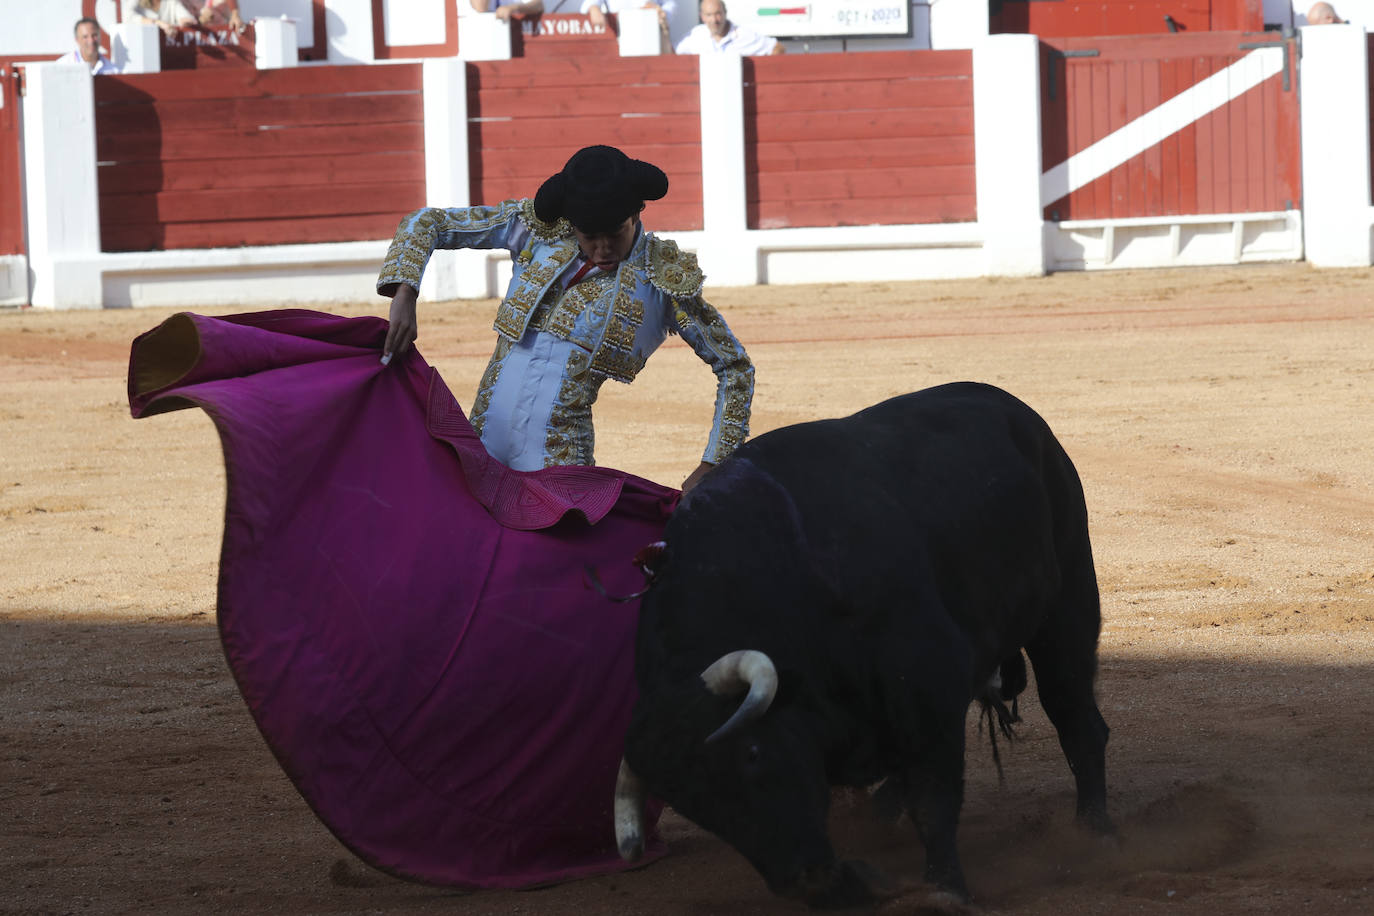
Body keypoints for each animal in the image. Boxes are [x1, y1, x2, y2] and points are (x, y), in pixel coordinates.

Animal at [618, 384, 1110, 906]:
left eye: (751, 753)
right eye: (697, 809)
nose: (804, 880)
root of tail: (1018, 412)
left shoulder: (928, 682)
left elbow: (932, 801)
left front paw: (945, 889)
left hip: (1068, 603)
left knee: (1076, 716)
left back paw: (1094, 833)